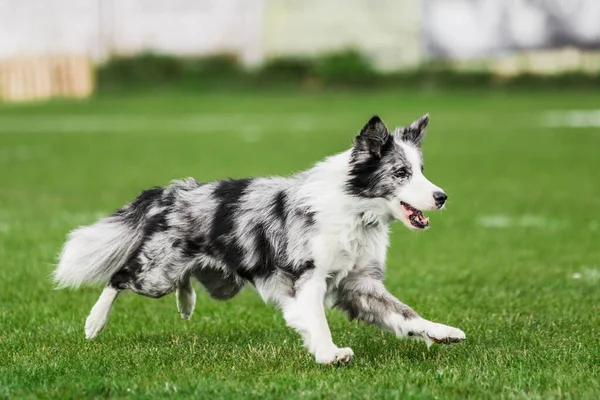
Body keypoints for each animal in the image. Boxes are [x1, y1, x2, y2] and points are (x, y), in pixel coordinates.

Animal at [52, 113, 464, 366]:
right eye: (401, 172)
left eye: (422, 171)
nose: (442, 196)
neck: (354, 209)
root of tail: (172, 191)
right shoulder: (306, 277)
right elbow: (317, 320)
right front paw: (329, 354)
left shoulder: (359, 284)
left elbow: (405, 314)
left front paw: (442, 332)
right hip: (156, 275)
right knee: (120, 276)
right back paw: (94, 323)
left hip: (219, 282)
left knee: (185, 279)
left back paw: (186, 304)